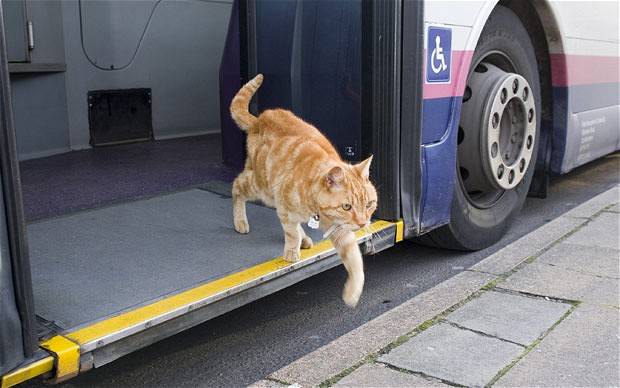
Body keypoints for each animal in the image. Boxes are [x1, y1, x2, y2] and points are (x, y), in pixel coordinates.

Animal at [230, 74, 376, 308]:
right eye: (347, 206)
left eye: (369, 204)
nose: (363, 223)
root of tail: (259, 119)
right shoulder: (286, 207)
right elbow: (290, 232)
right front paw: (291, 250)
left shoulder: (339, 231)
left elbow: (355, 260)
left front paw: (353, 292)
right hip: (261, 187)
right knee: (236, 186)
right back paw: (240, 221)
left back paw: (305, 237)